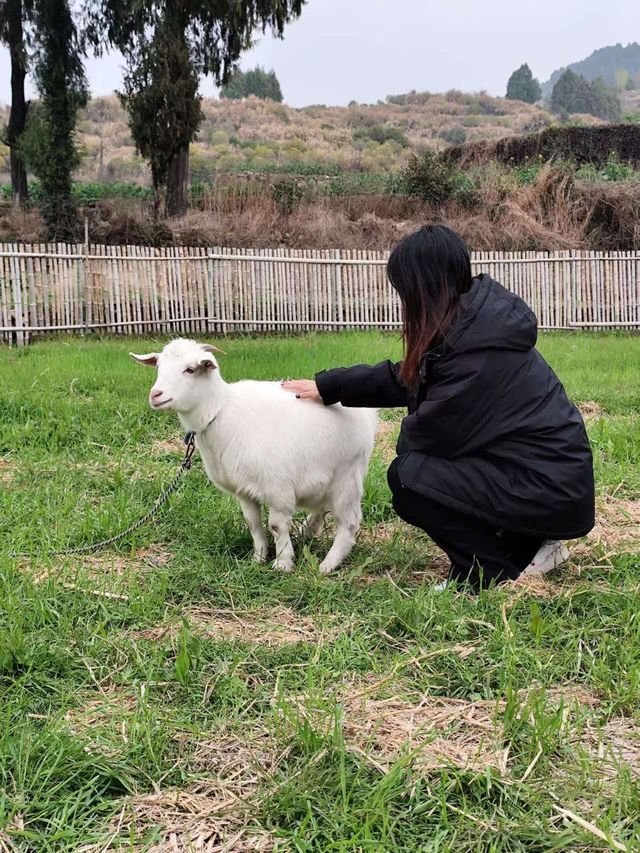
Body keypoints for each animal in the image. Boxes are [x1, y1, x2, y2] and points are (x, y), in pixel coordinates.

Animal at [132, 340, 378, 572]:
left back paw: (329, 564)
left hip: (347, 475)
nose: (155, 395)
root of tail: (366, 413)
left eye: (190, 369)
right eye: (159, 366)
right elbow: (253, 523)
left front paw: (283, 563)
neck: (219, 411)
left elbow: (276, 526)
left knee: (349, 522)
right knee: (321, 507)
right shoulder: (243, 489)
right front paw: (258, 558)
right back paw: (307, 532)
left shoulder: (277, 487)